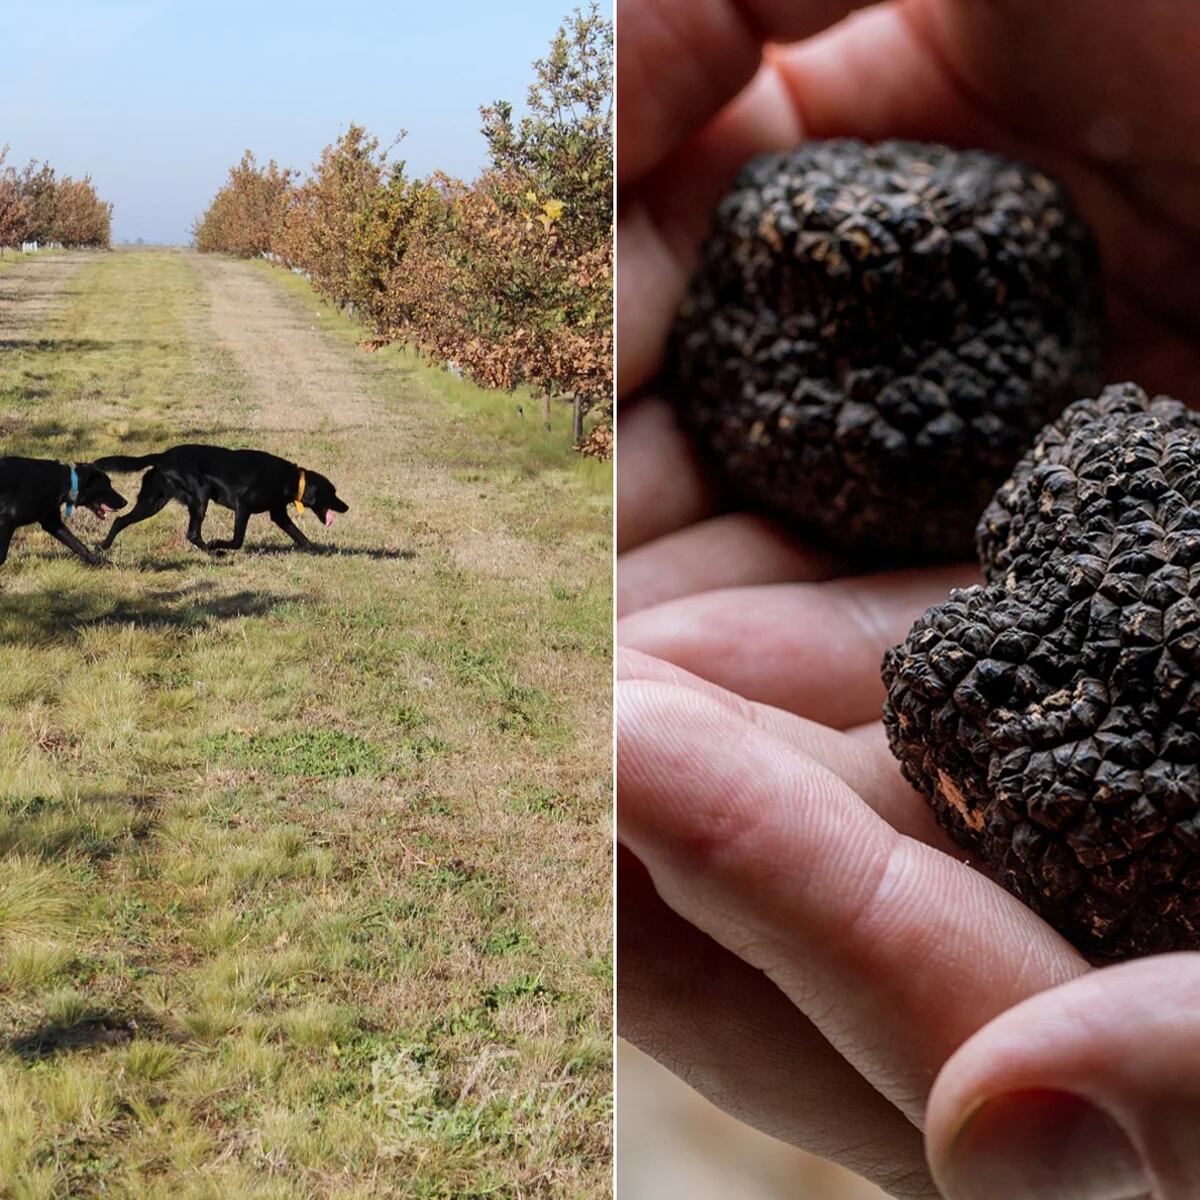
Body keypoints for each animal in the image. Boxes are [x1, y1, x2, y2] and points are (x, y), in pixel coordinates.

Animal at [0, 460, 128, 568]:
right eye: (106, 485)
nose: (125, 502)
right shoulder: (6, 522)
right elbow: (2, 556)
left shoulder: (51, 522)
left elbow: (78, 544)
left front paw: (104, 563)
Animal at [96, 446, 350, 552]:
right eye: (332, 493)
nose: (346, 507)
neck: (289, 478)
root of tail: (162, 456)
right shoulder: (243, 505)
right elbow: (237, 540)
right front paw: (219, 543)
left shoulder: (278, 514)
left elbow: (300, 537)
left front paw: (319, 550)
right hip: (200, 495)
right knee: (193, 533)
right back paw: (214, 550)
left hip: (152, 502)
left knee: (120, 520)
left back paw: (103, 546)